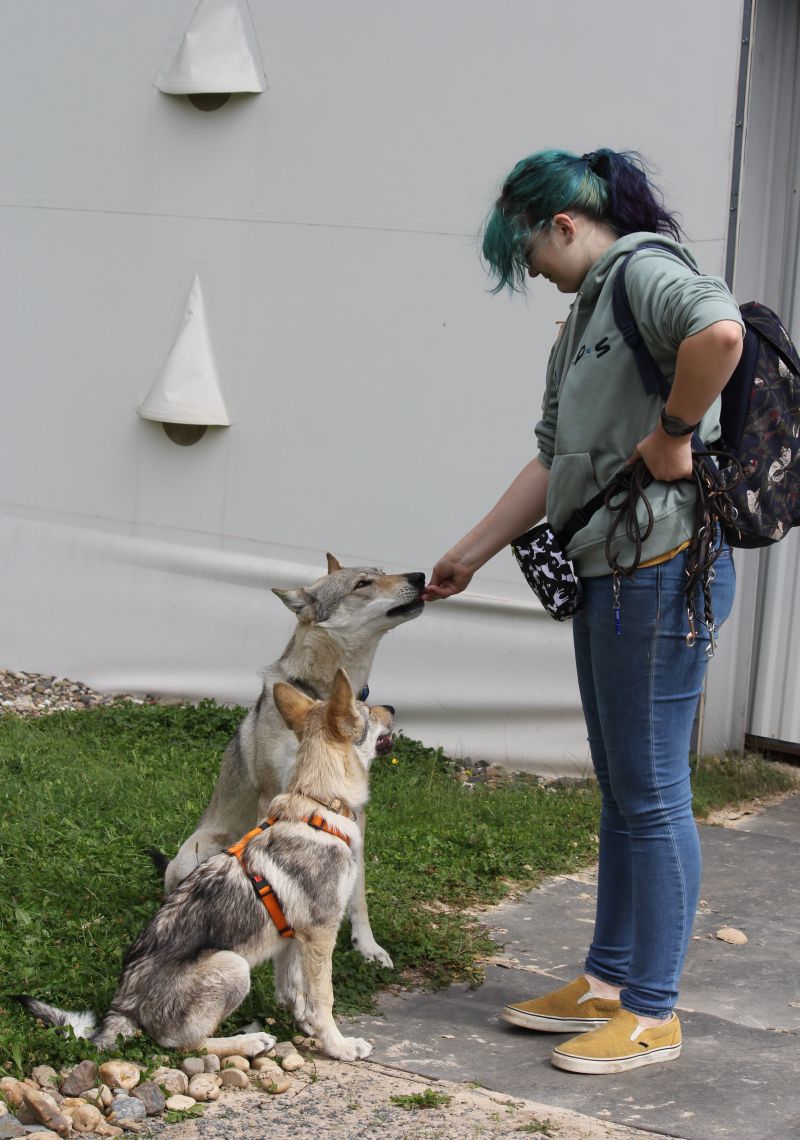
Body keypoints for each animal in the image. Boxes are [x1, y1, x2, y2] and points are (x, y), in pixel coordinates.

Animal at [17, 670, 394, 1062]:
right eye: (368, 710)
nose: (393, 708)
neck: (319, 806)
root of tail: (122, 1008)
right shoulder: (321, 933)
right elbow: (323, 998)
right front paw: (339, 1045)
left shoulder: (295, 937)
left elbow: (294, 992)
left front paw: (308, 1028)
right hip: (234, 965)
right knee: (182, 1044)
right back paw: (250, 1042)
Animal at [162, 556, 426, 966]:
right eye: (362, 584)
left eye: (382, 573)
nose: (421, 576)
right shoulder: (274, 798)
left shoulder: (354, 814)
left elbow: (359, 897)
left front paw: (368, 947)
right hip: (200, 849)